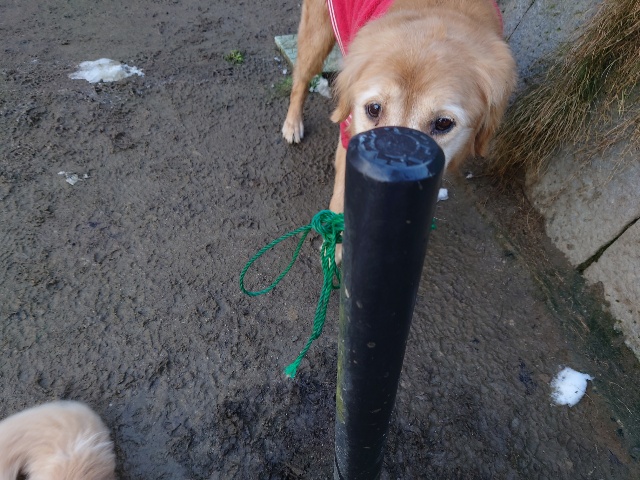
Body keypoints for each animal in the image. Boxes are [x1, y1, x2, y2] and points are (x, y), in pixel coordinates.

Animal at [282, 0, 517, 215]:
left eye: (443, 123)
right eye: (374, 109)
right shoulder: (350, 134)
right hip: (317, 35)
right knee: (300, 80)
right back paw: (293, 124)